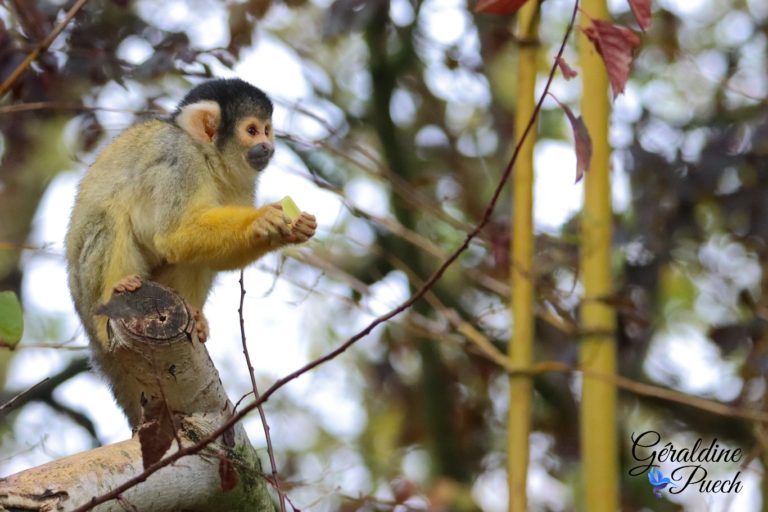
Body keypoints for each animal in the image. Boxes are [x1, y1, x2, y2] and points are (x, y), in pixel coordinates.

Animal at [67, 79, 316, 424]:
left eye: (267, 130)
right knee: (110, 215)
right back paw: (117, 292)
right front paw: (262, 220)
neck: (206, 157)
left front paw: (291, 229)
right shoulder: (179, 160)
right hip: (87, 291)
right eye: (252, 131)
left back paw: (194, 318)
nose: (268, 146)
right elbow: (173, 235)